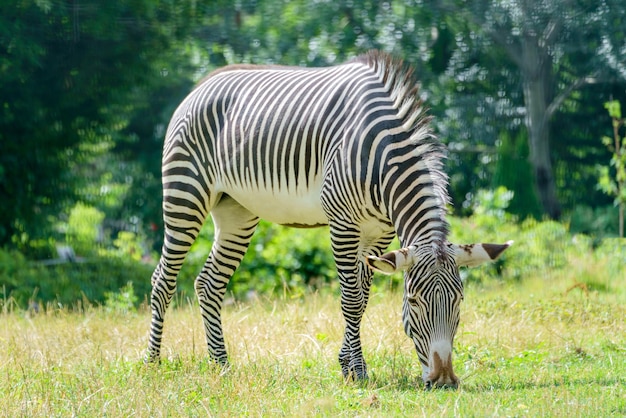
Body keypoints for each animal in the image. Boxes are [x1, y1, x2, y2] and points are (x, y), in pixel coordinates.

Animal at [146, 51, 512, 388]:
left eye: (459, 301)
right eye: (414, 301)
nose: (444, 380)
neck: (383, 157)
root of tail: (203, 83)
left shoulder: (379, 232)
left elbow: (363, 298)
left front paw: (346, 364)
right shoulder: (343, 223)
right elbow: (351, 299)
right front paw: (358, 373)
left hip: (236, 210)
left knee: (209, 283)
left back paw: (220, 364)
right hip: (185, 194)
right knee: (163, 278)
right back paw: (153, 361)